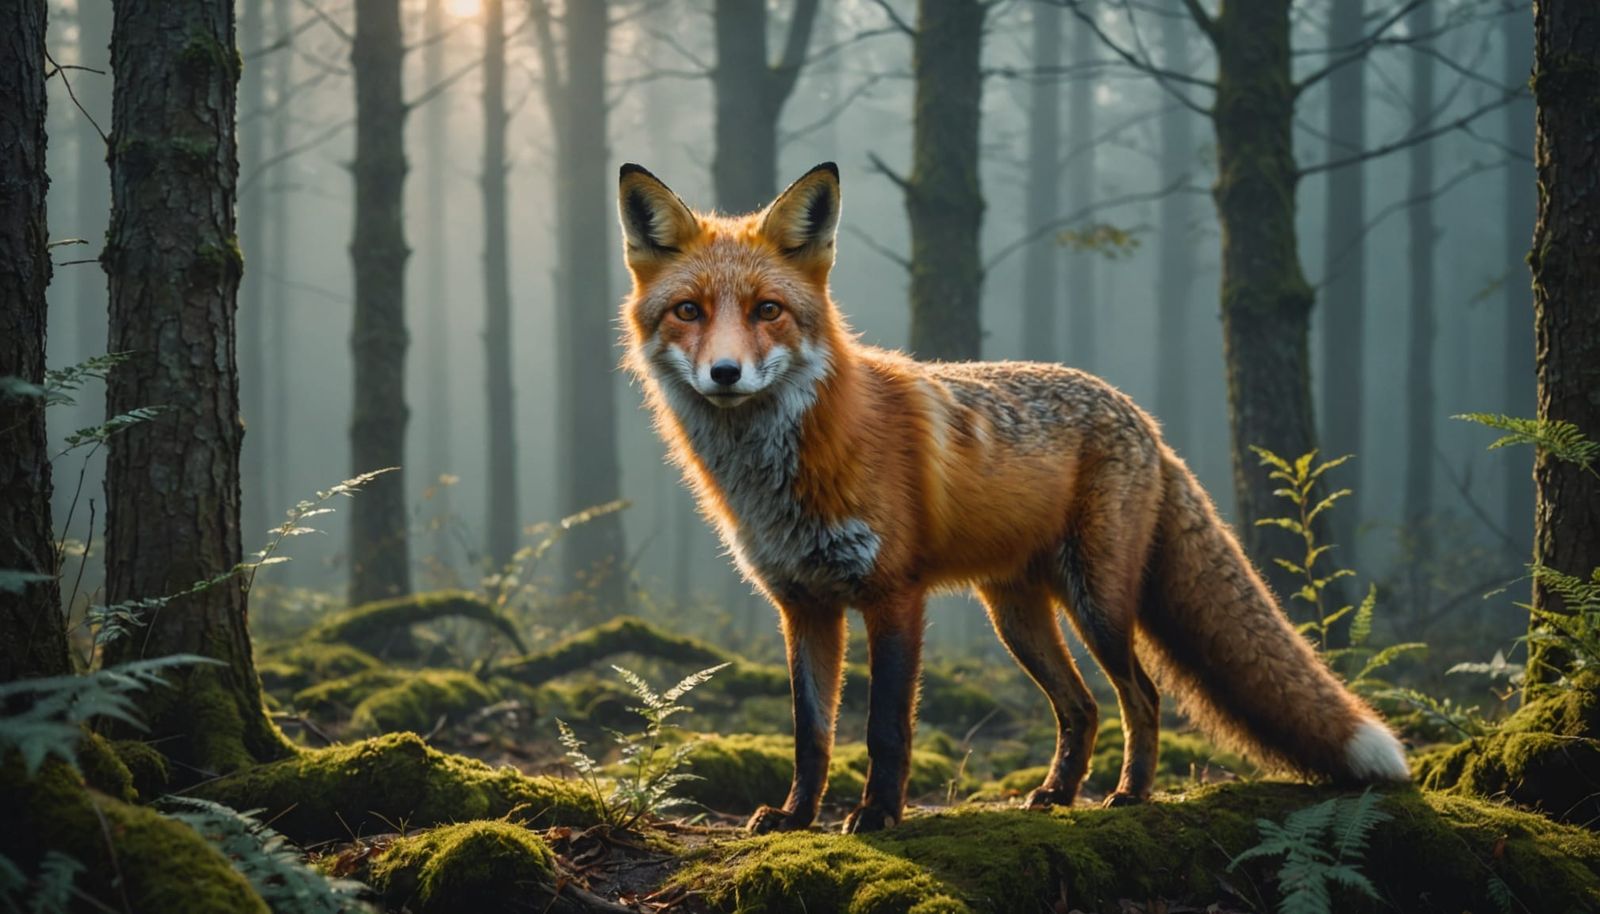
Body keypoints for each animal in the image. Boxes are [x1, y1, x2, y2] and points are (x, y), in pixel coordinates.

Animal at [615, 161, 1410, 835]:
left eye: (768, 310)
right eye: (688, 311)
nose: (724, 373)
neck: (784, 470)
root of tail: (1142, 419)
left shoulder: (893, 594)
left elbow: (884, 729)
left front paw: (877, 816)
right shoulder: (803, 605)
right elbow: (811, 733)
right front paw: (794, 817)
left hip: (1099, 604)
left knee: (1141, 696)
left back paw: (1131, 793)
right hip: (1018, 617)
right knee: (1081, 706)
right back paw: (1057, 793)